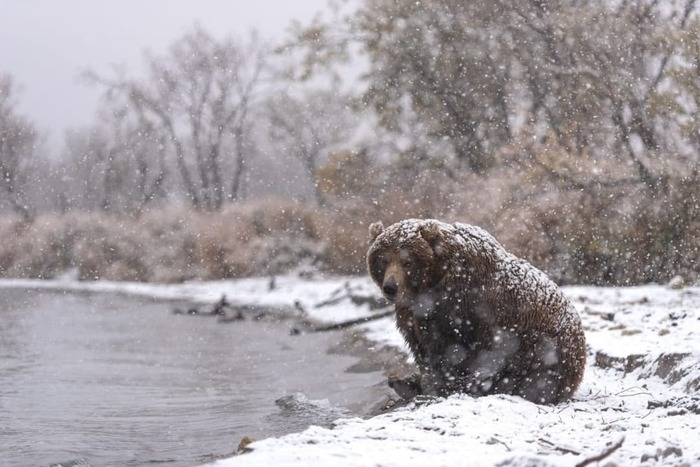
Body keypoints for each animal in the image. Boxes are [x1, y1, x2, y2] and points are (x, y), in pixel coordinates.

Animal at [370, 219, 588, 406]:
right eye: (383, 260)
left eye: (407, 261)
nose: (390, 287)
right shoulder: (411, 313)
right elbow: (419, 344)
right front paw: (415, 380)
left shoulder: (458, 304)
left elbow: (450, 348)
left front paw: (437, 385)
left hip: (543, 343)